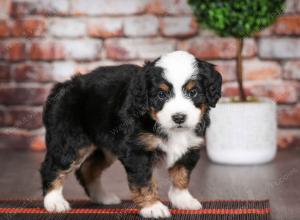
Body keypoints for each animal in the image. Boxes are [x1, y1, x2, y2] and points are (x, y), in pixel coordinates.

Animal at [41, 50, 221, 217]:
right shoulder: (137, 150)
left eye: (193, 92)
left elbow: (181, 175)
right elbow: (144, 181)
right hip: (70, 141)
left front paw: (183, 200)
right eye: (161, 94)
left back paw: (103, 197)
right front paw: (153, 207)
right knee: (52, 167)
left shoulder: (189, 147)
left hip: (104, 148)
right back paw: (54, 201)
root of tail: (64, 86)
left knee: (87, 169)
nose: (178, 117)